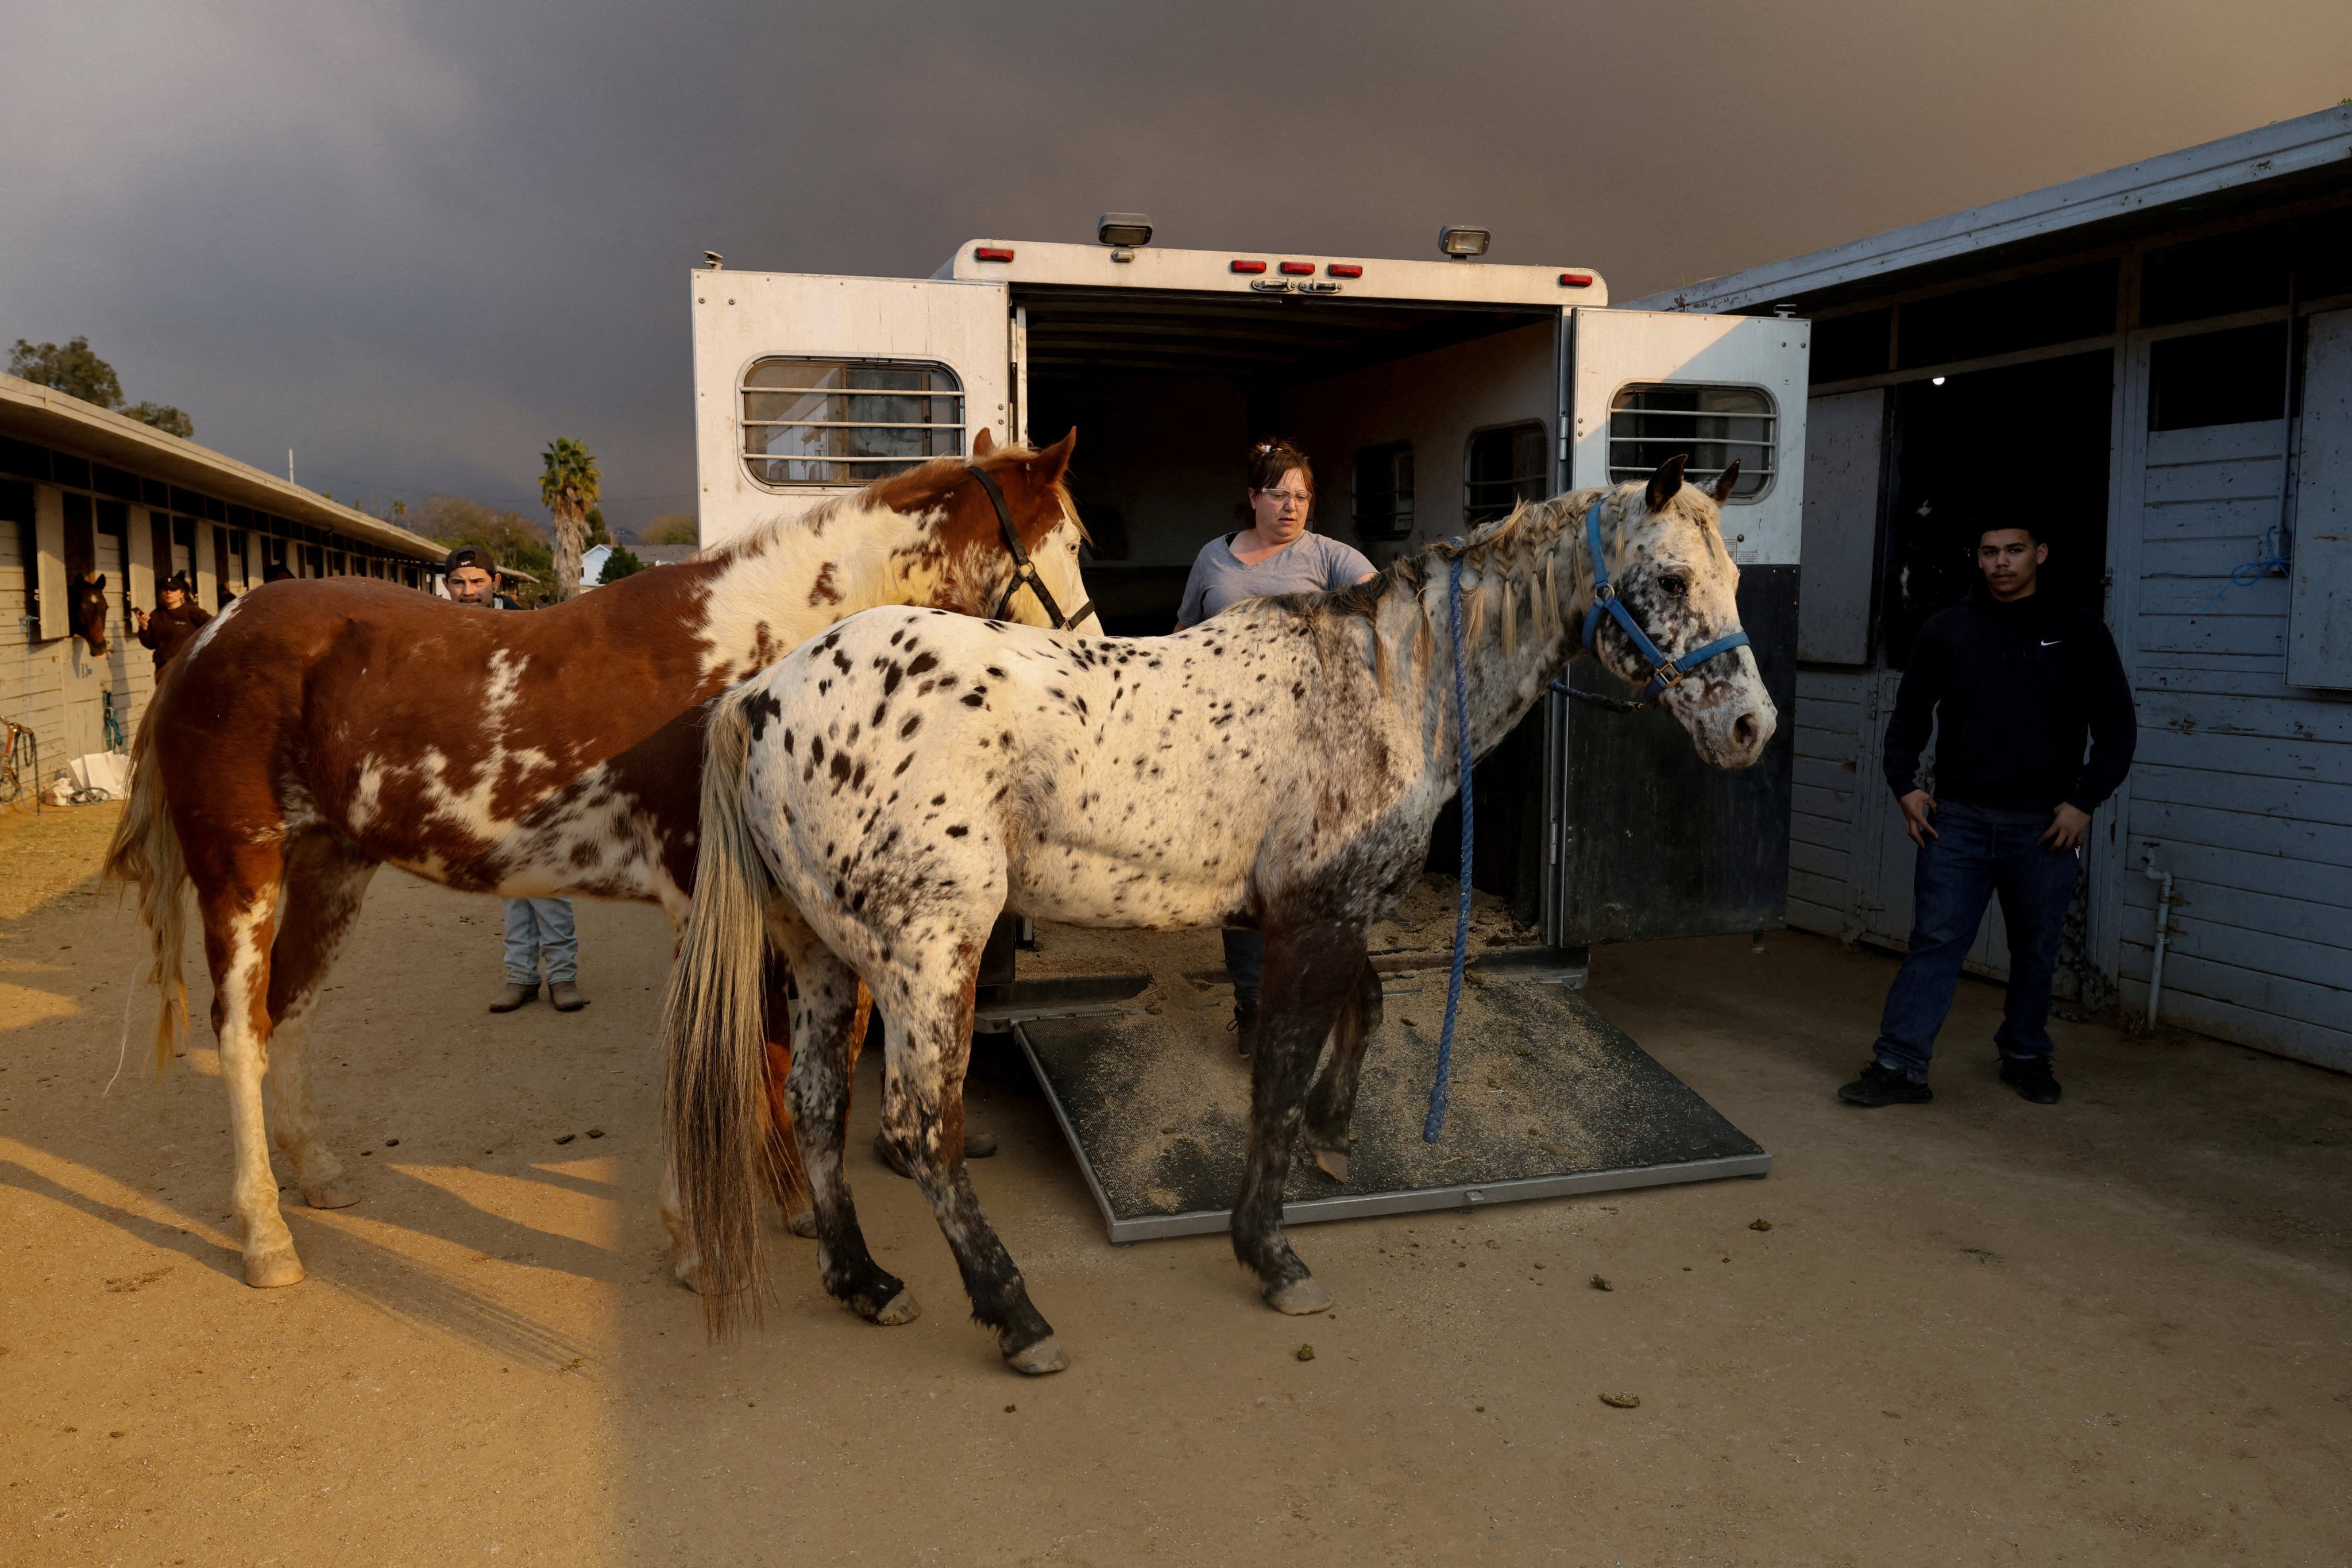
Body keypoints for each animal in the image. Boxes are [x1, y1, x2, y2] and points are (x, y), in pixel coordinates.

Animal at [106, 432, 1096, 1288]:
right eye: (1075, 541)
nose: (1092, 647)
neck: (746, 665)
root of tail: (207, 638)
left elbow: (771, 1050)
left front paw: (775, 1208)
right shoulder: (703, 902)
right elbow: (717, 1054)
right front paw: (696, 1240)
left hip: (332, 866)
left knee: (291, 1011)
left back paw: (318, 1173)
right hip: (240, 871)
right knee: (240, 1029)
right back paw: (266, 1236)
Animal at [673, 453, 1768, 1373]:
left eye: (1735, 580)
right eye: (1673, 581)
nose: (1749, 728)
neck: (1382, 687)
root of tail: (763, 697)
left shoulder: (1320, 909)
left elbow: (1360, 1015)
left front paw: (1334, 1134)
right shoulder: (1314, 917)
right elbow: (1275, 1078)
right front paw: (1272, 1253)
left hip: (822, 952)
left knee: (819, 1103)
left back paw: (863, 1280)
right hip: (928, 956)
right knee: (920, 1128)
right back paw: (1017, 1316)